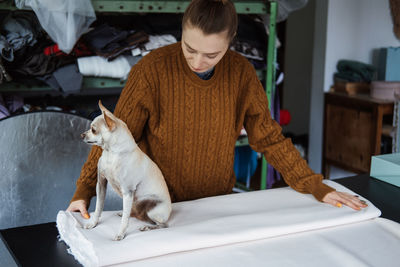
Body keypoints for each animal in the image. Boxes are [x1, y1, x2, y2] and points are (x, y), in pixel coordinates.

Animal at [80, 101, 171, 242]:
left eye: (93, 130)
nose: (82, 135)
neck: (111, 154)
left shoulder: (127, 192)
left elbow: (124, 221)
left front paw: (120, 234)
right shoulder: (101, 184)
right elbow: (98, 208)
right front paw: (93, 223)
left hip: (153, 210)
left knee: (162, 225)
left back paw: (147, 227)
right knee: (132, 213)